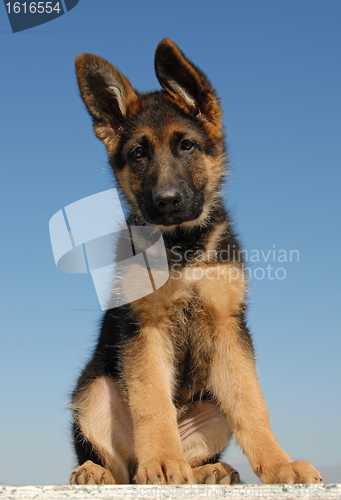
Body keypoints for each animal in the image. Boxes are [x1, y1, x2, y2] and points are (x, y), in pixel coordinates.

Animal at [69, 41, 322, 486]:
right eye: (138, 154)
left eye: (186, 145)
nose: (167, 200)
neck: (182, 246)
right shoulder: (145, 327)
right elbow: (153, 402)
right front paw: (162, 461)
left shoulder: (228, 324)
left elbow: (252, 406)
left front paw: (279, 464)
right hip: (93, 392)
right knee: (121, 466)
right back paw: (103, 471)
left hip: (212, 408)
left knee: (201, 441)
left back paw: (209, 470)